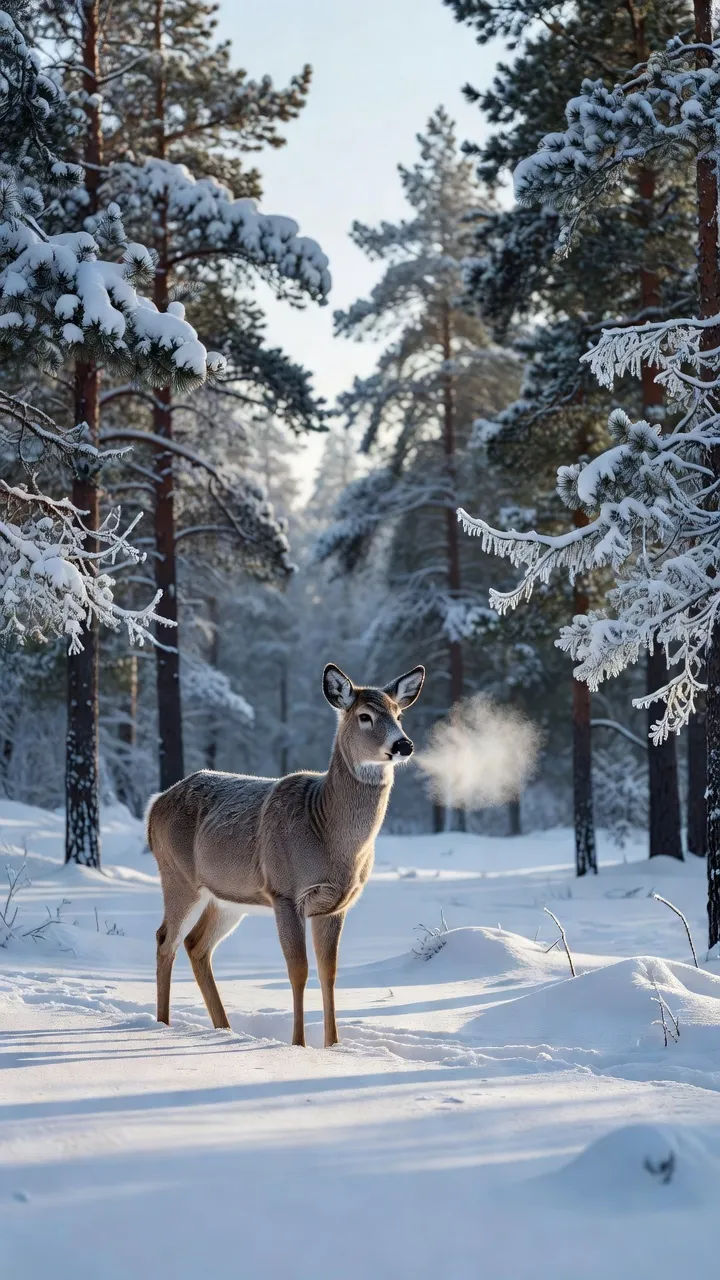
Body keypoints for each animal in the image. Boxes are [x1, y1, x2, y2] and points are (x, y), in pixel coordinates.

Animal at [146, 661, 425, 1047]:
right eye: (365, 716)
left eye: (399, 714)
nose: (403, 744)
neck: (327, 833)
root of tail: (154, 805)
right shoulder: (285, 891)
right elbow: (299, 970)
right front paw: (299, 1044)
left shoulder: (336, 904)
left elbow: (329, 972)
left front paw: (333, 1045)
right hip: (178, 876)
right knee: (165, 939)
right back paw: (162, 1024)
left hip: (226, 899)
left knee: (196, 944)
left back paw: (224, 1028)